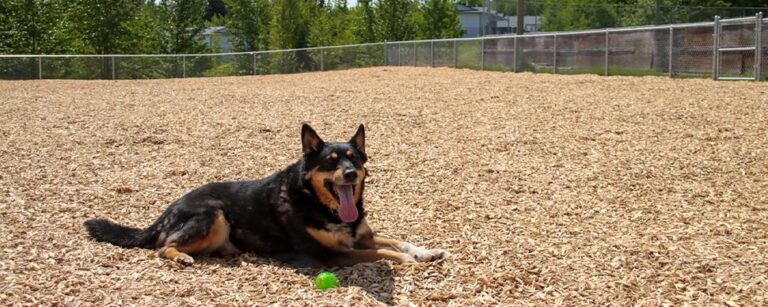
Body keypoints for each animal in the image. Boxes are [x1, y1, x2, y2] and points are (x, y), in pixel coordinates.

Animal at [85, 125, 448, 268]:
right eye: (331, 162)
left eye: (354, 159)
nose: (350, 174)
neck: (319, 204)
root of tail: (166, 211)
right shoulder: (332, 255)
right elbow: (381, 253)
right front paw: (406, 261)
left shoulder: (361, 236)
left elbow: (397, 241)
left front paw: (425, 252)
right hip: (213, 213)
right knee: (163, 246)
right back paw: (181, 256)